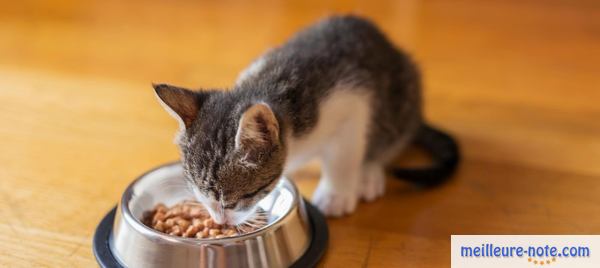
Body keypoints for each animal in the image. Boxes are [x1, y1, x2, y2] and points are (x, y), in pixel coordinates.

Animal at [154, 14, 460, 224]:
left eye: (235, 201)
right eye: (200, 196)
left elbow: (344, 154)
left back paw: (369, 172)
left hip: (403, 95)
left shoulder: (353, 100)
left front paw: (336, 193)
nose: (220, 222)